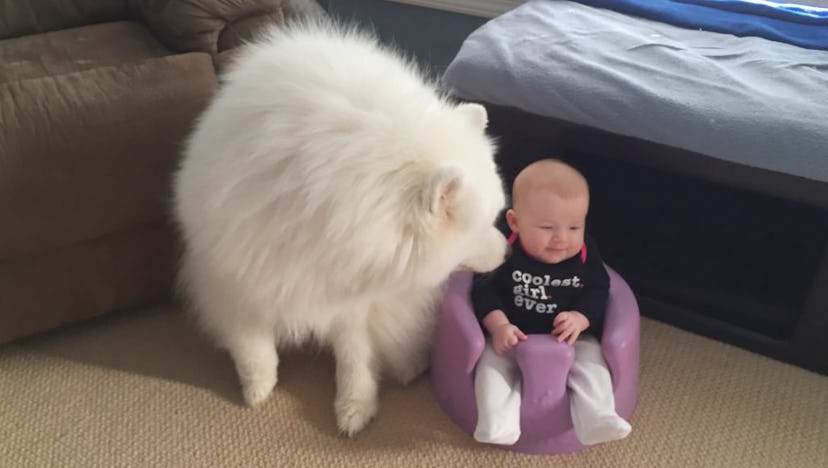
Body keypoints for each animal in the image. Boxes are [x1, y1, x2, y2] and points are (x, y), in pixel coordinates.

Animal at [174, 22, 508, 436]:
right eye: (483, 226)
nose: (508, 251)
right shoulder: (235, 275)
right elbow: (251, 344)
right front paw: (258, 387)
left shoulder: (351, 297)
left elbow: (354, 354)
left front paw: (354, 406)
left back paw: (409, 365)